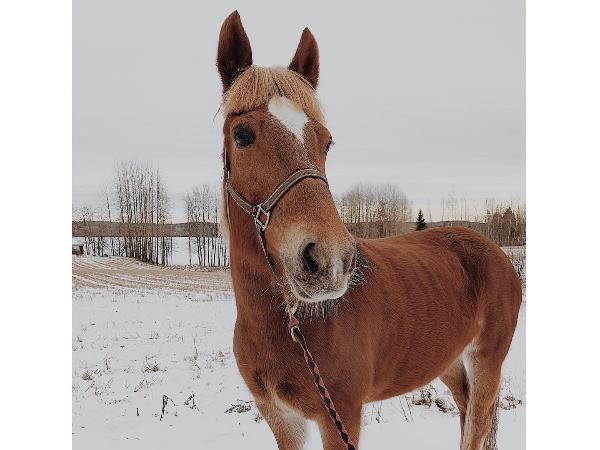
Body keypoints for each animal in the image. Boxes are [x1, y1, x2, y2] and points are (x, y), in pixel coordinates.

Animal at [215, 11, 522, 450]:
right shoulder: (281, 419)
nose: (328, 261)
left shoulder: (340, 416)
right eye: (242, 136)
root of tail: (494, 250)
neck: (291, 324)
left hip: (487, 360)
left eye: (326, 142)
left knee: (476, 424)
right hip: (445, 359)